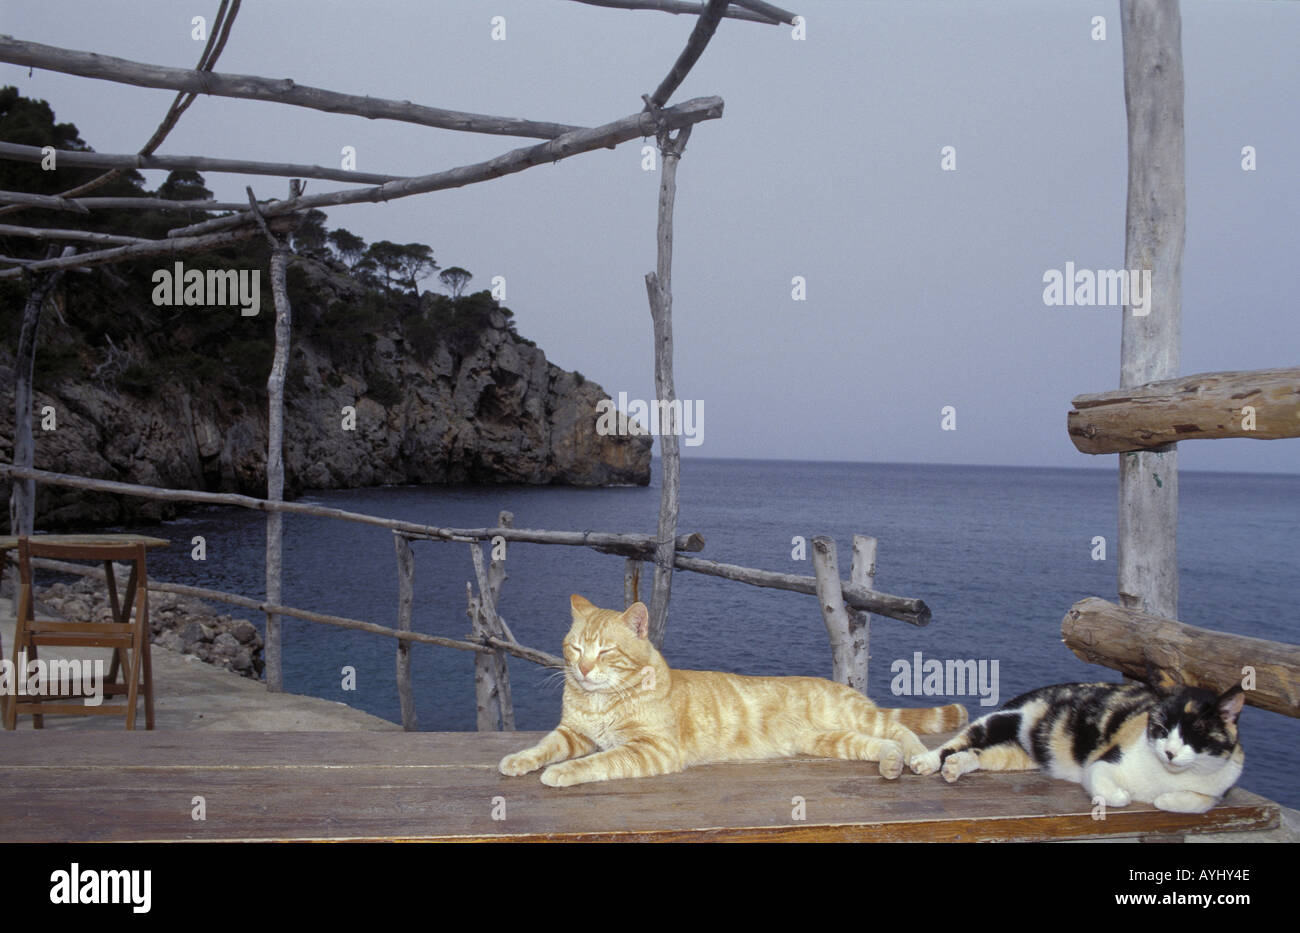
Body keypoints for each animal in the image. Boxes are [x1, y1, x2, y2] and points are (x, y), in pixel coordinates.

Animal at [496, 595, 967, 784]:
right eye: (576, 648)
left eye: (606, 651)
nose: (583, 669)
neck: (598, 702)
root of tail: (844, 687)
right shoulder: (573, 733)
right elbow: (543, 747)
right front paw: (520, 760)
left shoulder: (652, 749)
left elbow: (597, 761)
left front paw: (561, 773)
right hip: (834, 740)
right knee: (881, 744)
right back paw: (890, 765)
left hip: (858, 718)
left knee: (901, 731)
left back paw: (919, 760)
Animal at [909, 675, 1242, 816]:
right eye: (1160, 729)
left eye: (1195, 734)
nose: (1170, 752)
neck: (1166, 777)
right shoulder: (1102, 763)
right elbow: (1113, 795)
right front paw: (1127, 796)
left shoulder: (1219, 790)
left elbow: (1198, 801)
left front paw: (1164, 799)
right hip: (1000, 720)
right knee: (957, 742)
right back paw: (927, 762)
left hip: (1018, 754)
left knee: (977, 753)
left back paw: (956, 767)